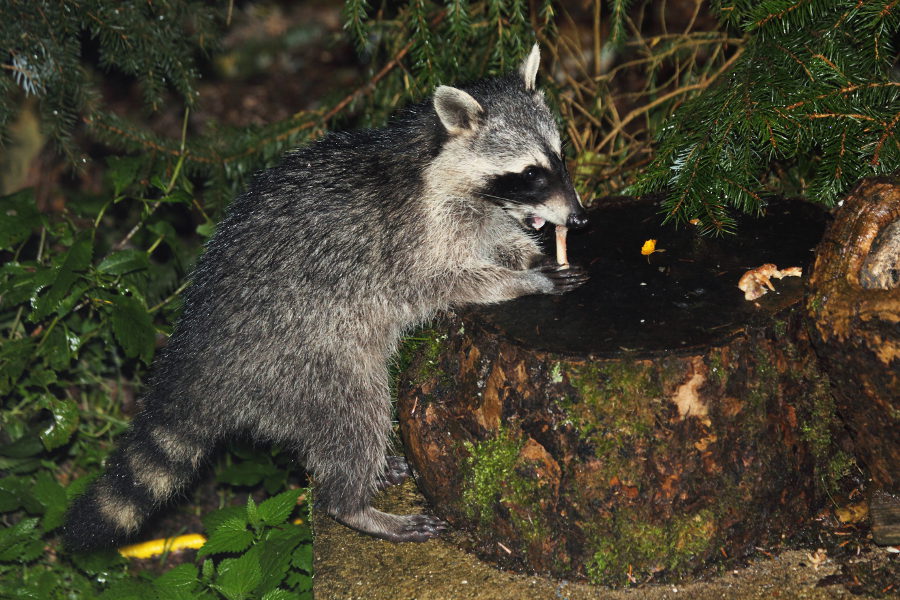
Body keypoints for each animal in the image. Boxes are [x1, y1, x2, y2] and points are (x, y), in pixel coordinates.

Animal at [61, 44, 584, 552]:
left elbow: (500, 241)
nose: (577, 217)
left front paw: (529, 254)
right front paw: (523, 279)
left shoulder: (482, 218)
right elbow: (444, 283)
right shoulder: (408, 240)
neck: (436, 164)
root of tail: (199, 352)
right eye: (530, 173)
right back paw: (353, 504)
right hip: (307, 361)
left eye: (560, 157)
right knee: (357, 414)